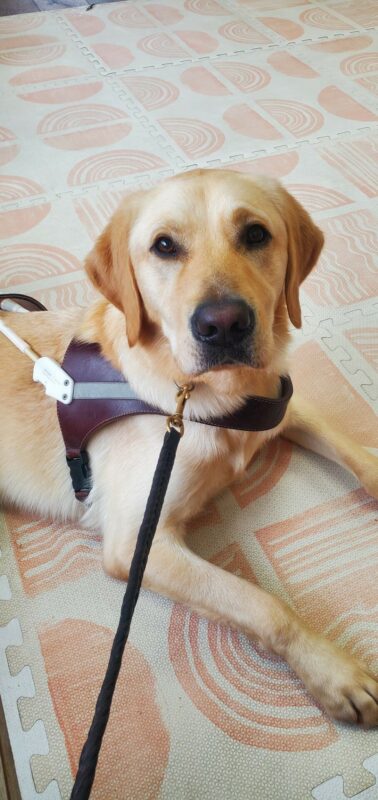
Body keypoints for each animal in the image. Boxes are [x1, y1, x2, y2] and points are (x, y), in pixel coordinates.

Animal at [0, 172, 378, 728]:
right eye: (164, 246)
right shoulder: (138, 544)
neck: (211, 396)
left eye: (256, 234)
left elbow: (351, 448)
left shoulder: (278, 403)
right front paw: (333, 671)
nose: (223, 324)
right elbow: (260, 604)